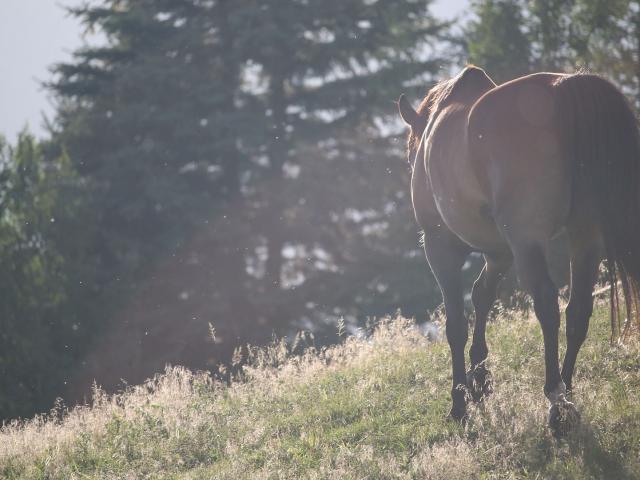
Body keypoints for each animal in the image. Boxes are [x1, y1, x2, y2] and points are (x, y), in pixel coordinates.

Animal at [398, 64, 640, 436]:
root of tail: (564, 89)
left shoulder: (441, 247)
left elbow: (455, 324)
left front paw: (459, 402)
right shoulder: (500, 252)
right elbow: (482, 295)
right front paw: (480, 380)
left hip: (529, 242)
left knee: (548, 306)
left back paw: (556, 402)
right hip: (585, 237)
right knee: (577, 311)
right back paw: (567, 391)